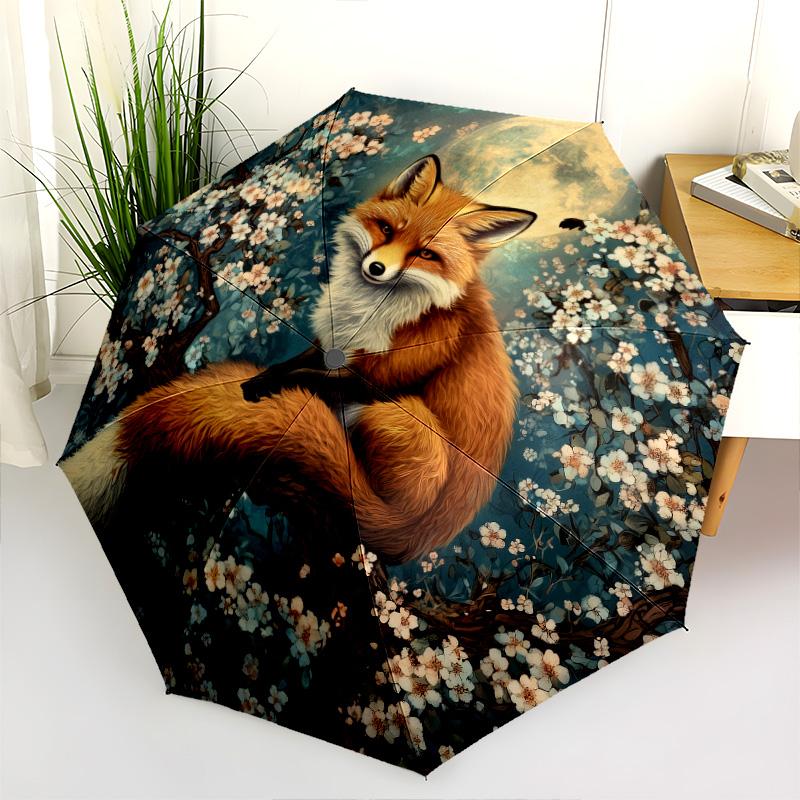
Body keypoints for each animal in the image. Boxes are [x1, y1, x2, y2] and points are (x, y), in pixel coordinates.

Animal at [61, 154, 537, 562]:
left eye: (426, 254)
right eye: (386, 229)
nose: (377, 269)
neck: (374, 310)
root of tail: (415, 536)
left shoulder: (385, 375)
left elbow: (311, 377)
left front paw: (260, 386)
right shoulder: (332, 345)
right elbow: (300, 366)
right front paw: (267, 378)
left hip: (401, 417)